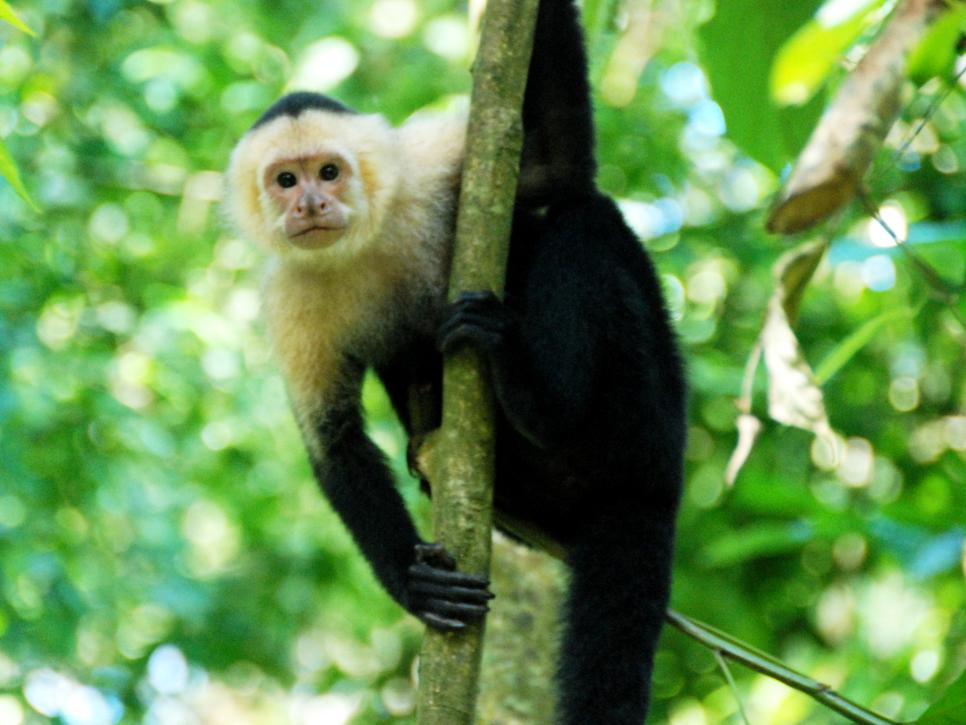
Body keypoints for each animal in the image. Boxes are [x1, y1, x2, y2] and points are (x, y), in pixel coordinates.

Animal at [225, 0, 685, 722]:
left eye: (329, 172)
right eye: (285, 179)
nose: (310, 204)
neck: (360, 245)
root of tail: (656, 481)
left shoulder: (423, 167)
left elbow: (556, 166)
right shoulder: (288, 300)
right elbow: (336, 443)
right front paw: (414, 584)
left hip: (646, 415)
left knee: (579, 217)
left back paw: (535, 392)